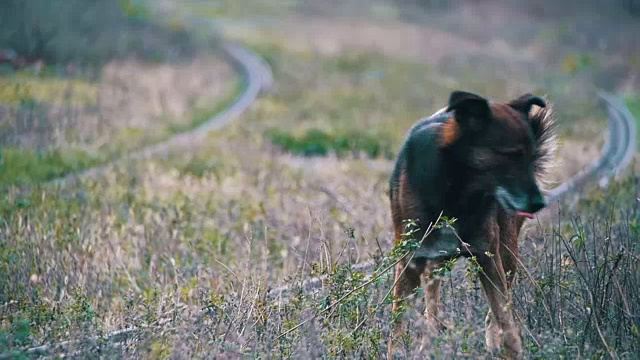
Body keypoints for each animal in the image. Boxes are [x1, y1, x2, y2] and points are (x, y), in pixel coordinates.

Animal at [384, 89, 556, 358]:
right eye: (511, 155)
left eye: (532, 157)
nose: (539, 203)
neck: (456, 188)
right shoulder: (410, 261)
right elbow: (398, 331)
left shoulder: (487, 255)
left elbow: (505, 320)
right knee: (432, 304)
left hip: (506, 253)